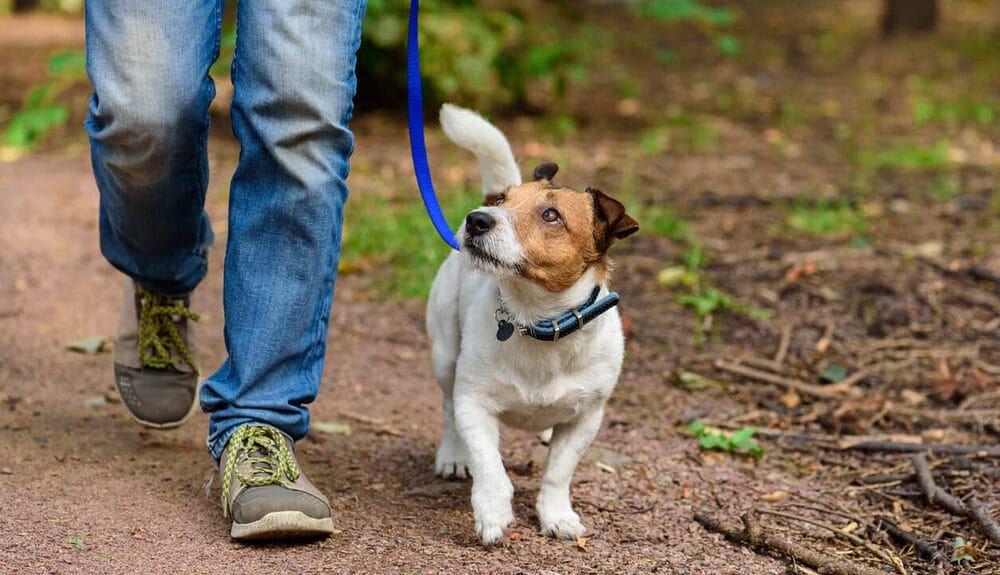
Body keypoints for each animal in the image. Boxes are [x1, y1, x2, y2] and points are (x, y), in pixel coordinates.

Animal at [426, 104, 636, 544]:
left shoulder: (586, 419)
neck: (535, 320)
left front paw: (557, 515)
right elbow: (489, 465)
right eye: (503, 200)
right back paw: (453, 455)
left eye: (550, 215)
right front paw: (492, 511)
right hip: (444, 355)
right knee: (448, 409)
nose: (476, 219)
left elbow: (558, 473)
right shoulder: (474, 403)